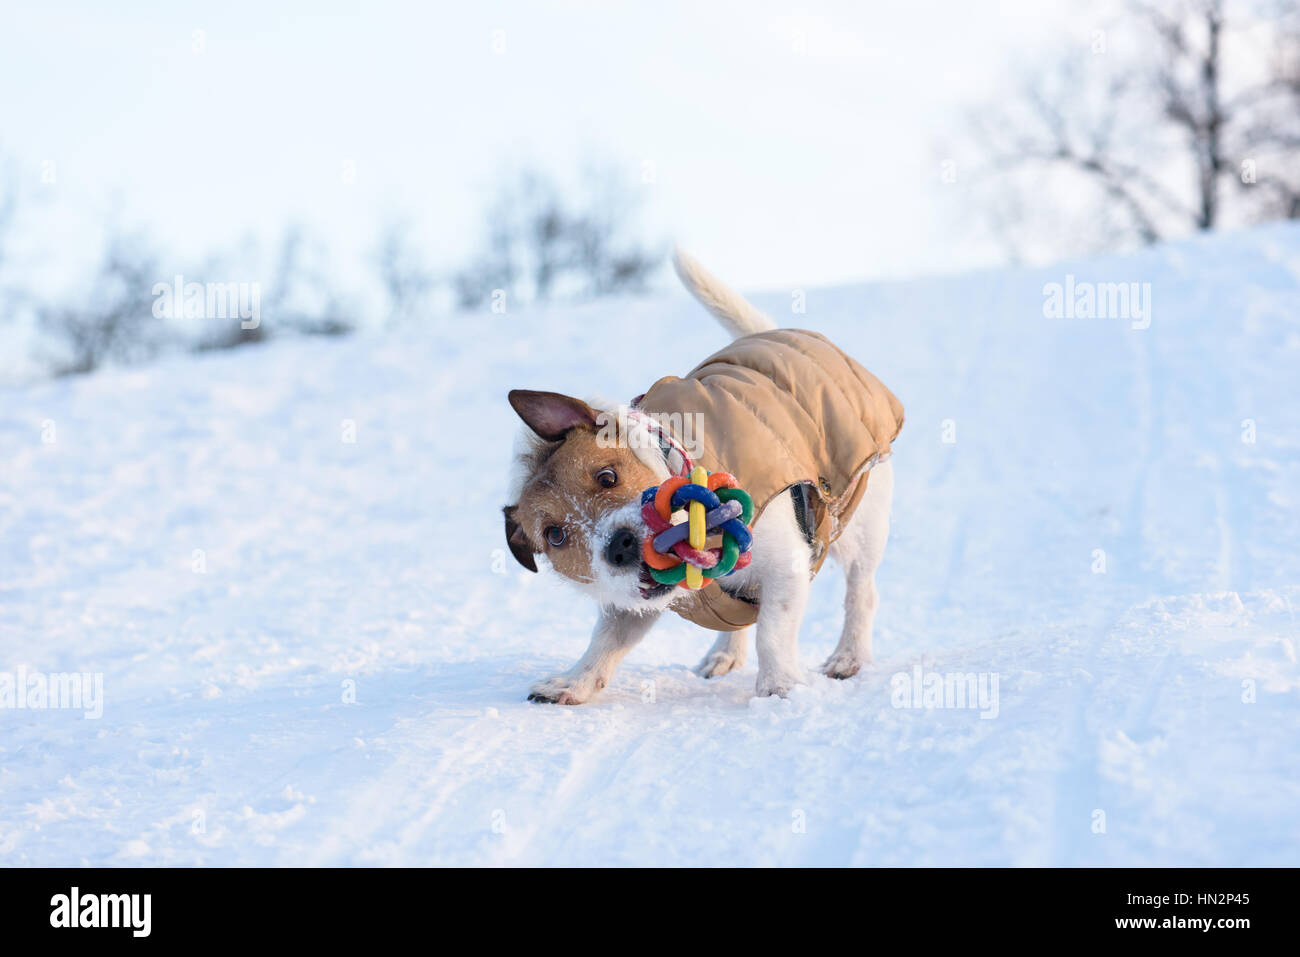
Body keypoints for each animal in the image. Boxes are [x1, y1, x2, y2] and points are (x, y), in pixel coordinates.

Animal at [499, 252, 904, 702]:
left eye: (606, 476)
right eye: (555, 535)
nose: (619, 545)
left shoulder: (787, 566)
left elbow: (773, 632)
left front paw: (778, 687)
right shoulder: (632, 601)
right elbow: (606, 640)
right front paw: (575, 681)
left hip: (859, 522)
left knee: (861, 591)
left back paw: (849, 656)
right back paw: (724, 654)